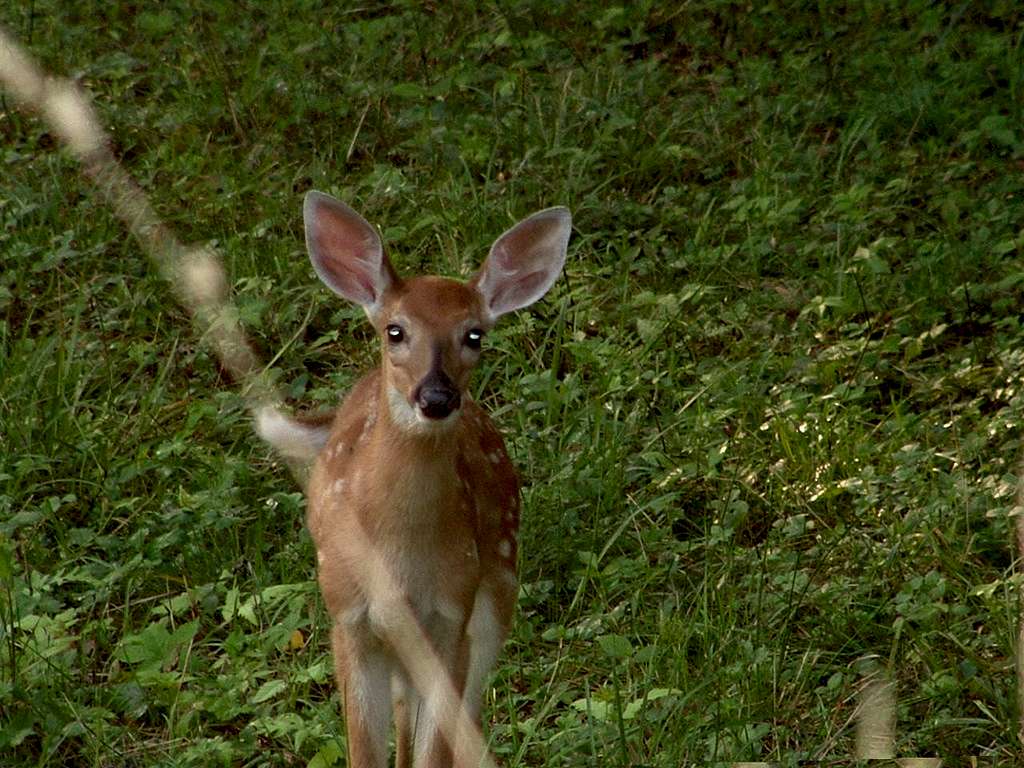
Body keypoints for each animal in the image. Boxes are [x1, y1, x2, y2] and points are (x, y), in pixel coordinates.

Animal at [256, 192, 573, 768]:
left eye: (474, 335)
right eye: (395, 331)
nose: (436, 396)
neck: (401, 558)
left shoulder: (453, 615)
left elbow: (436, 750)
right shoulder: (348, 614)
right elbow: (365, 753)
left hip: (496, 598)